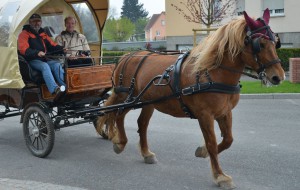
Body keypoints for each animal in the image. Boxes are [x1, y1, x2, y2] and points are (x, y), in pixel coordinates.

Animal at [95, 8, 284, 189]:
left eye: (276, 42)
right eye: (260, 44)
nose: (278, 77)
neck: (212, 73)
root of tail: (126, 56)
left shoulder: (224, 112)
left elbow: (228, 140)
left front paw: (202, 151)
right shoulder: (205, 115)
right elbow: (212, 143)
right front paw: (220, 176)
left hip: (148, 102)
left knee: (141, 124)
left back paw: (146, 153)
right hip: (128, 97)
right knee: (118, 114)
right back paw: (120, 143)